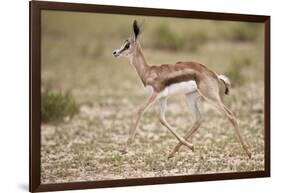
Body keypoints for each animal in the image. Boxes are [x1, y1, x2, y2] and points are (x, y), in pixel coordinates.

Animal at [112, 20, 252, 158]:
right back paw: (175, 151)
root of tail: (214, 75)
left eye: (127, 45)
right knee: (198, 120)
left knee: (230, 115)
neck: (148, 71)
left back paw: (248, 152)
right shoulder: (163, 98)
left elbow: (139, 110)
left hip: (210, 97)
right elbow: (162, 119)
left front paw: (124, 149)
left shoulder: (155, 94)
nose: (115, 53)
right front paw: (190, 146)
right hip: (190, 97)